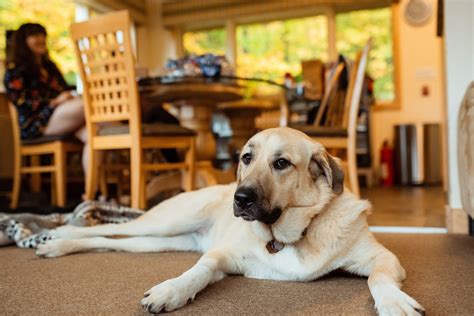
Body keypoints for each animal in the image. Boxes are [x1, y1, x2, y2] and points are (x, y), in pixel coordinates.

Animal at [36, 127, 422, 314]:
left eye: (281, 163)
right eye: (246, 158)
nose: (241, 198)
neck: (288, 233)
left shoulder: (382, 258)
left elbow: (377, 278)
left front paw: (394, 302)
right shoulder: (222, 256)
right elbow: (198, 271)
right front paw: (172, 289)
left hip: (157, 241)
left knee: (110, 241)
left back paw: (58, 243)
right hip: (166, 223)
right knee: (108, 227)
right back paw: (59, 233)